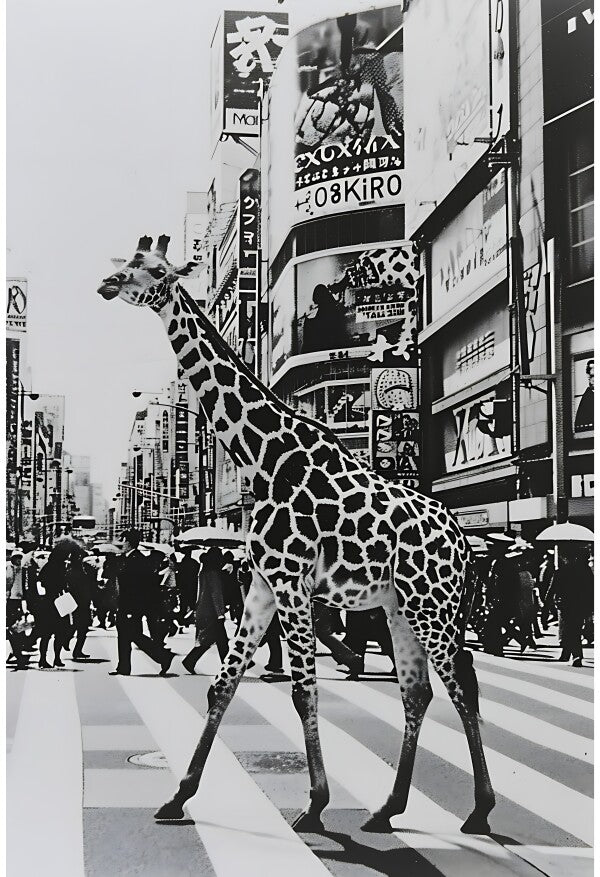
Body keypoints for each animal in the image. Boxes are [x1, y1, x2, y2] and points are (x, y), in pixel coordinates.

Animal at [98, 235, 495, 835]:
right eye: (126, 262)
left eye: (158, 271)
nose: (109, 284)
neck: (264, 457)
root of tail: (463, 541)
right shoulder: (262, 582)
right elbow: (222, 684)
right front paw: (177, 797)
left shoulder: (292, 581)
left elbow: (304, 691)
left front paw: (314, 805)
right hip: (398, 607)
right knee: (418, 690)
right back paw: (386, 809)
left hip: (435, 605)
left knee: (462, 683)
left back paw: (479, 811)